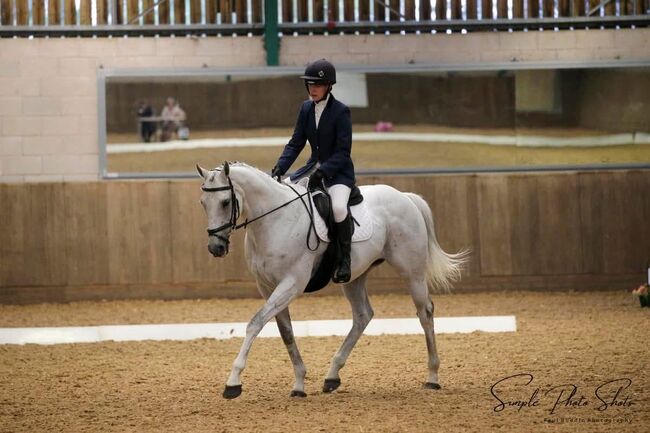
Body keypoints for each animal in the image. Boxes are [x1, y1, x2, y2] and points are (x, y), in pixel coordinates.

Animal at [195, 161, 464, 398]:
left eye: (225, 202)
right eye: (203, 203)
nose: (216, 248)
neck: (274, 221)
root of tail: (405, 197)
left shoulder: (292, 283)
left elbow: (255, 323)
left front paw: (233, 382)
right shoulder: (267, 286)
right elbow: (286, 332)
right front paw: (299, 384)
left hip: (412, 272)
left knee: (425, 312)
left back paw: (432, 377)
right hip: (354, 277)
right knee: (363, 315)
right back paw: (332, 376)